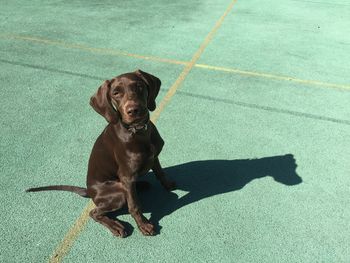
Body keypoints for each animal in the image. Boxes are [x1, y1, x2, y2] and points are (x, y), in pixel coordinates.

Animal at [26, 69, 176, 237]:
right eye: (116, 93)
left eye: (139, 86)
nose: (133, 110)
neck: (138, 132)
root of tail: (90, 191)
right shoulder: (126, 175)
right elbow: (134, 205)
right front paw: (143, 224)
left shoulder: (153, 156)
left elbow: (160, 171)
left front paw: (168, 184)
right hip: (118, 192)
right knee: (94, 212)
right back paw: (116, 226)